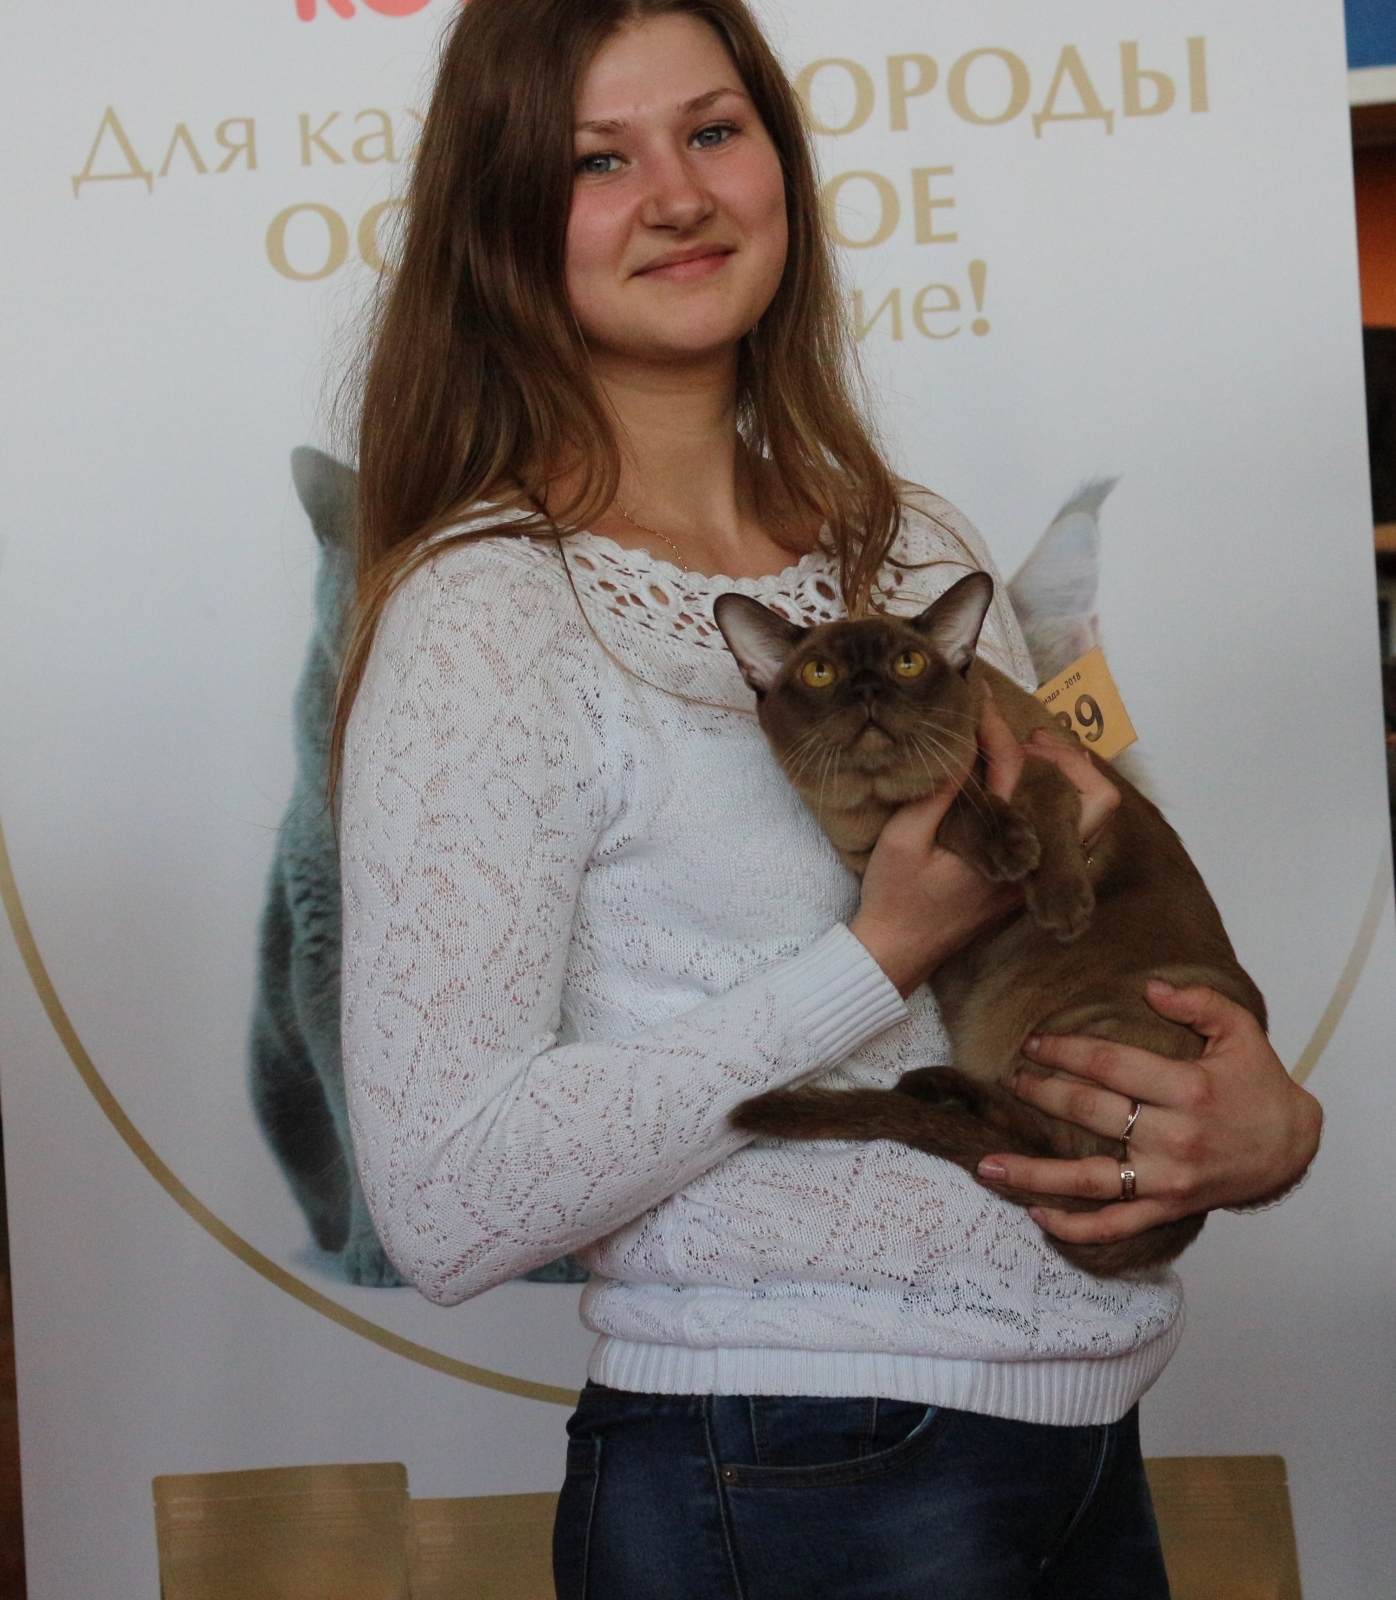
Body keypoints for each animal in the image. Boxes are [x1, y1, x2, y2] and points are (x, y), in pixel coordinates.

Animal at [713, 570, 1266, 1277]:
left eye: (907, 663)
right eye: (820, 673)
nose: (867, 690)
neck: (876, 806)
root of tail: (1184, 1222)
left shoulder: (1040, 760)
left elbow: (1000, 800)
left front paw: (1053, 898)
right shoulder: (870, 845)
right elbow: (958, 808)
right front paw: (1008, 850)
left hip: (1094, 1023)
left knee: (1048, 1156)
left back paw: (937, 1089)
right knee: (1026, 1152)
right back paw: (934, 1089)